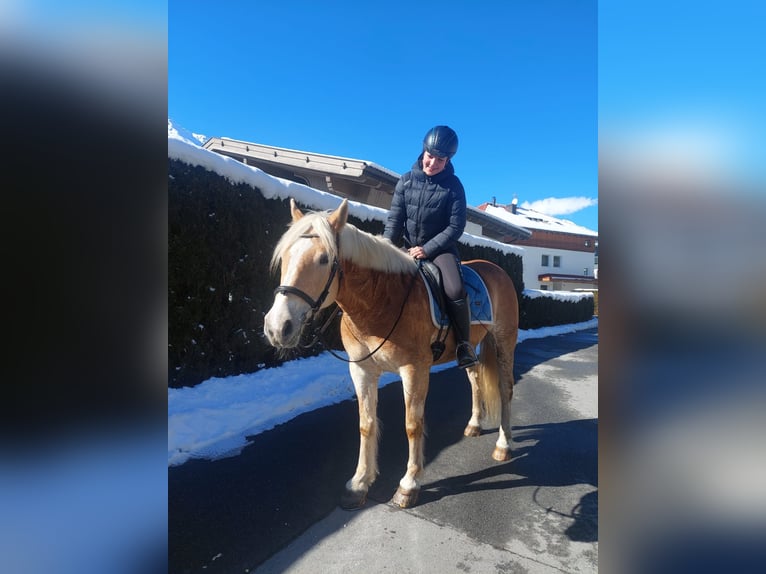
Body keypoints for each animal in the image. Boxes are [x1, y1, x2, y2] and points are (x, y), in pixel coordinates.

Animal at [264, 200, 520, 510]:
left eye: (324, 259)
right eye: (285, 256)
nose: (278, 327)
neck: (381, 301)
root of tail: (496, 270)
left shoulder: (414, 370)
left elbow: (412, 425)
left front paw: (409, 485)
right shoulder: (361, 370)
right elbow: (366, 424)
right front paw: (359, 483)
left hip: (504, 343)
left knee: (506, 389)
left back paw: (503, 445)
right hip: (471, 348)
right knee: (475, 380)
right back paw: (474, 425)